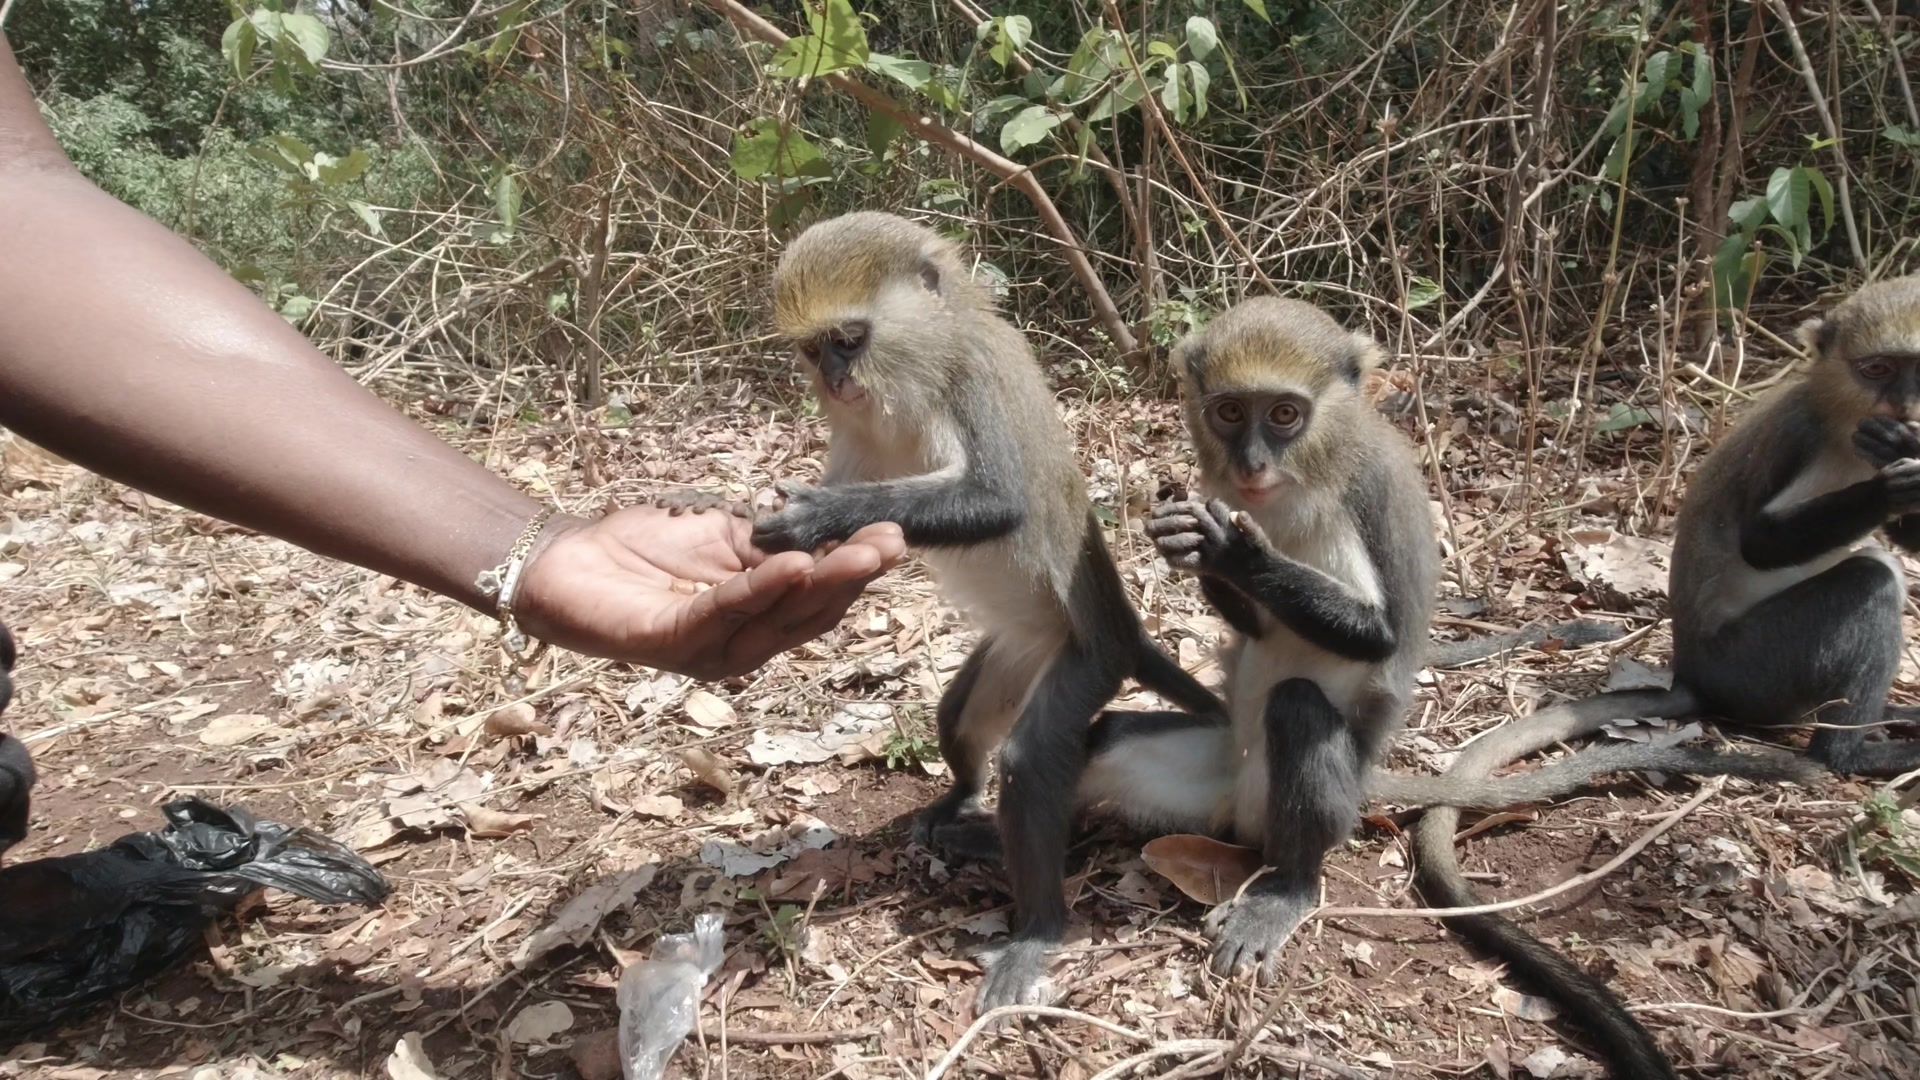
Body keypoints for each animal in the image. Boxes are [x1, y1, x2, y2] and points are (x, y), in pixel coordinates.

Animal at [741, 212, 1221, 1006]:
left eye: (850, 340)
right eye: (814, 349)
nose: (835, 380)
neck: (920, 367)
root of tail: (1121, 626)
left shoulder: (974, 374)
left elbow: (999, 500)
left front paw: (817, 520)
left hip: (1085, 661)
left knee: (1027, 763)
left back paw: (1038, 931)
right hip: (1023, 648)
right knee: (957, 713)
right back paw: (958, 802)